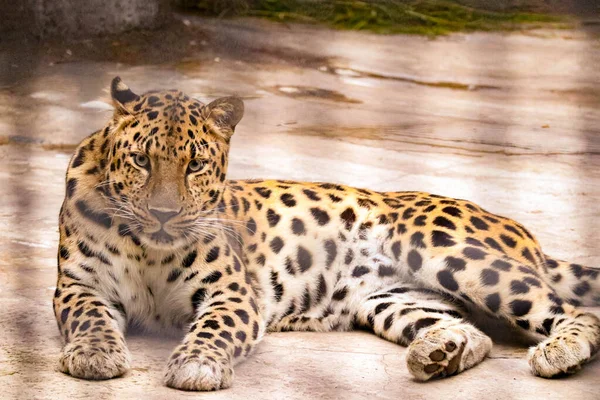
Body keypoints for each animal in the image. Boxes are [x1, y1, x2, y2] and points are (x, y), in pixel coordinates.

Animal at [52, 76, 600, 390]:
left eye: (196, 166)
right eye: (142, 160)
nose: (164, 215)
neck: (148, 249)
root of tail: (521, 230)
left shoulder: (232, 292)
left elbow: (214, 328)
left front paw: (196, 365)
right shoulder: (78, 284)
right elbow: (88, 317)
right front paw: (96, 354)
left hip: (446, 251)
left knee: (577, 312)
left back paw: (558, 352)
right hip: (389, 300)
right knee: (473, 333)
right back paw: (437, 354)